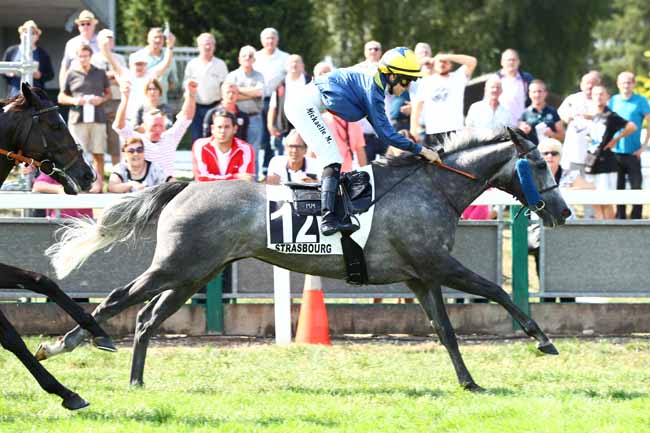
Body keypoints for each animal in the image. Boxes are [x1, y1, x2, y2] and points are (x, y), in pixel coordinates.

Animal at [0, 83, 116, 410]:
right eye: (55, 125)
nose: (88, 174)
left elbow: (42, 280)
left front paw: (98, 332)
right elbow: (11, 337)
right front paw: (65, 391)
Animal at [40, 127, 571, 391]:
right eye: (539, 164)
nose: (563, 210)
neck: (431, 187)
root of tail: (186, 185)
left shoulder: (421, 276)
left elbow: (445, 331)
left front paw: (469, 383)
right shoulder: (438, 266)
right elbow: (498, 289)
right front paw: (542, 340)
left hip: (195, 274)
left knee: (147, 318)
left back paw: (136, 380)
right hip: (176, 266)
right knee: (118, 297)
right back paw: (63, 345)